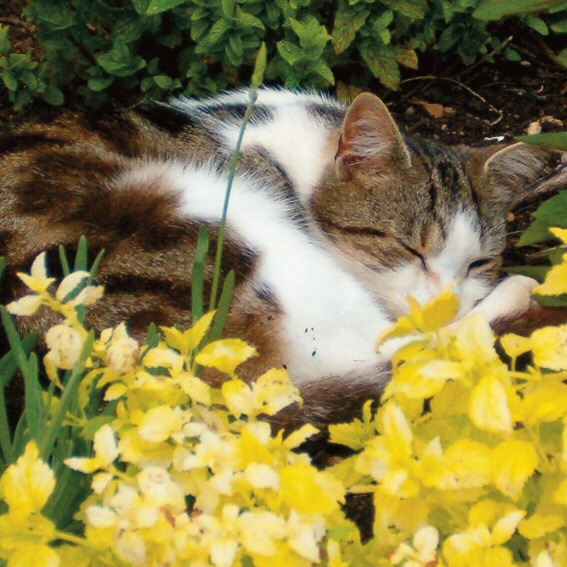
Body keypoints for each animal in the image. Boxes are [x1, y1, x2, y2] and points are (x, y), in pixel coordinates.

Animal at [0, 89, 552, 424]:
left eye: (478, 264)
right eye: (409, 248)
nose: (449, 301)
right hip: (234, 230)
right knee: (399, 353)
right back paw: (518, 294)